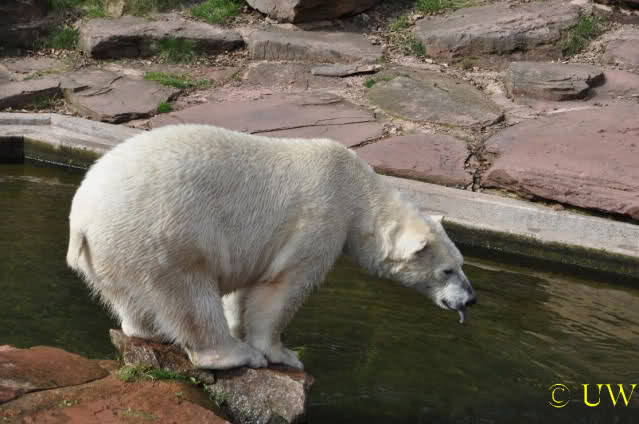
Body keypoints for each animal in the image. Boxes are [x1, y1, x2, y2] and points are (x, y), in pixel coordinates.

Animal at [66, 124, 476, 371]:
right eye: (447, 271)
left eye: (461, 263)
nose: (470, 300)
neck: (357, 191)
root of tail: (82, 217)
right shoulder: (319, 220)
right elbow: (281, 289)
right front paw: (282, 354)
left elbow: (242, 291)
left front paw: (240, 324)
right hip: (159, 235)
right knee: (188, 294)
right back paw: (235, 354)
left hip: (112, 251)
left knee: (128, 296)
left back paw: (147, 331)